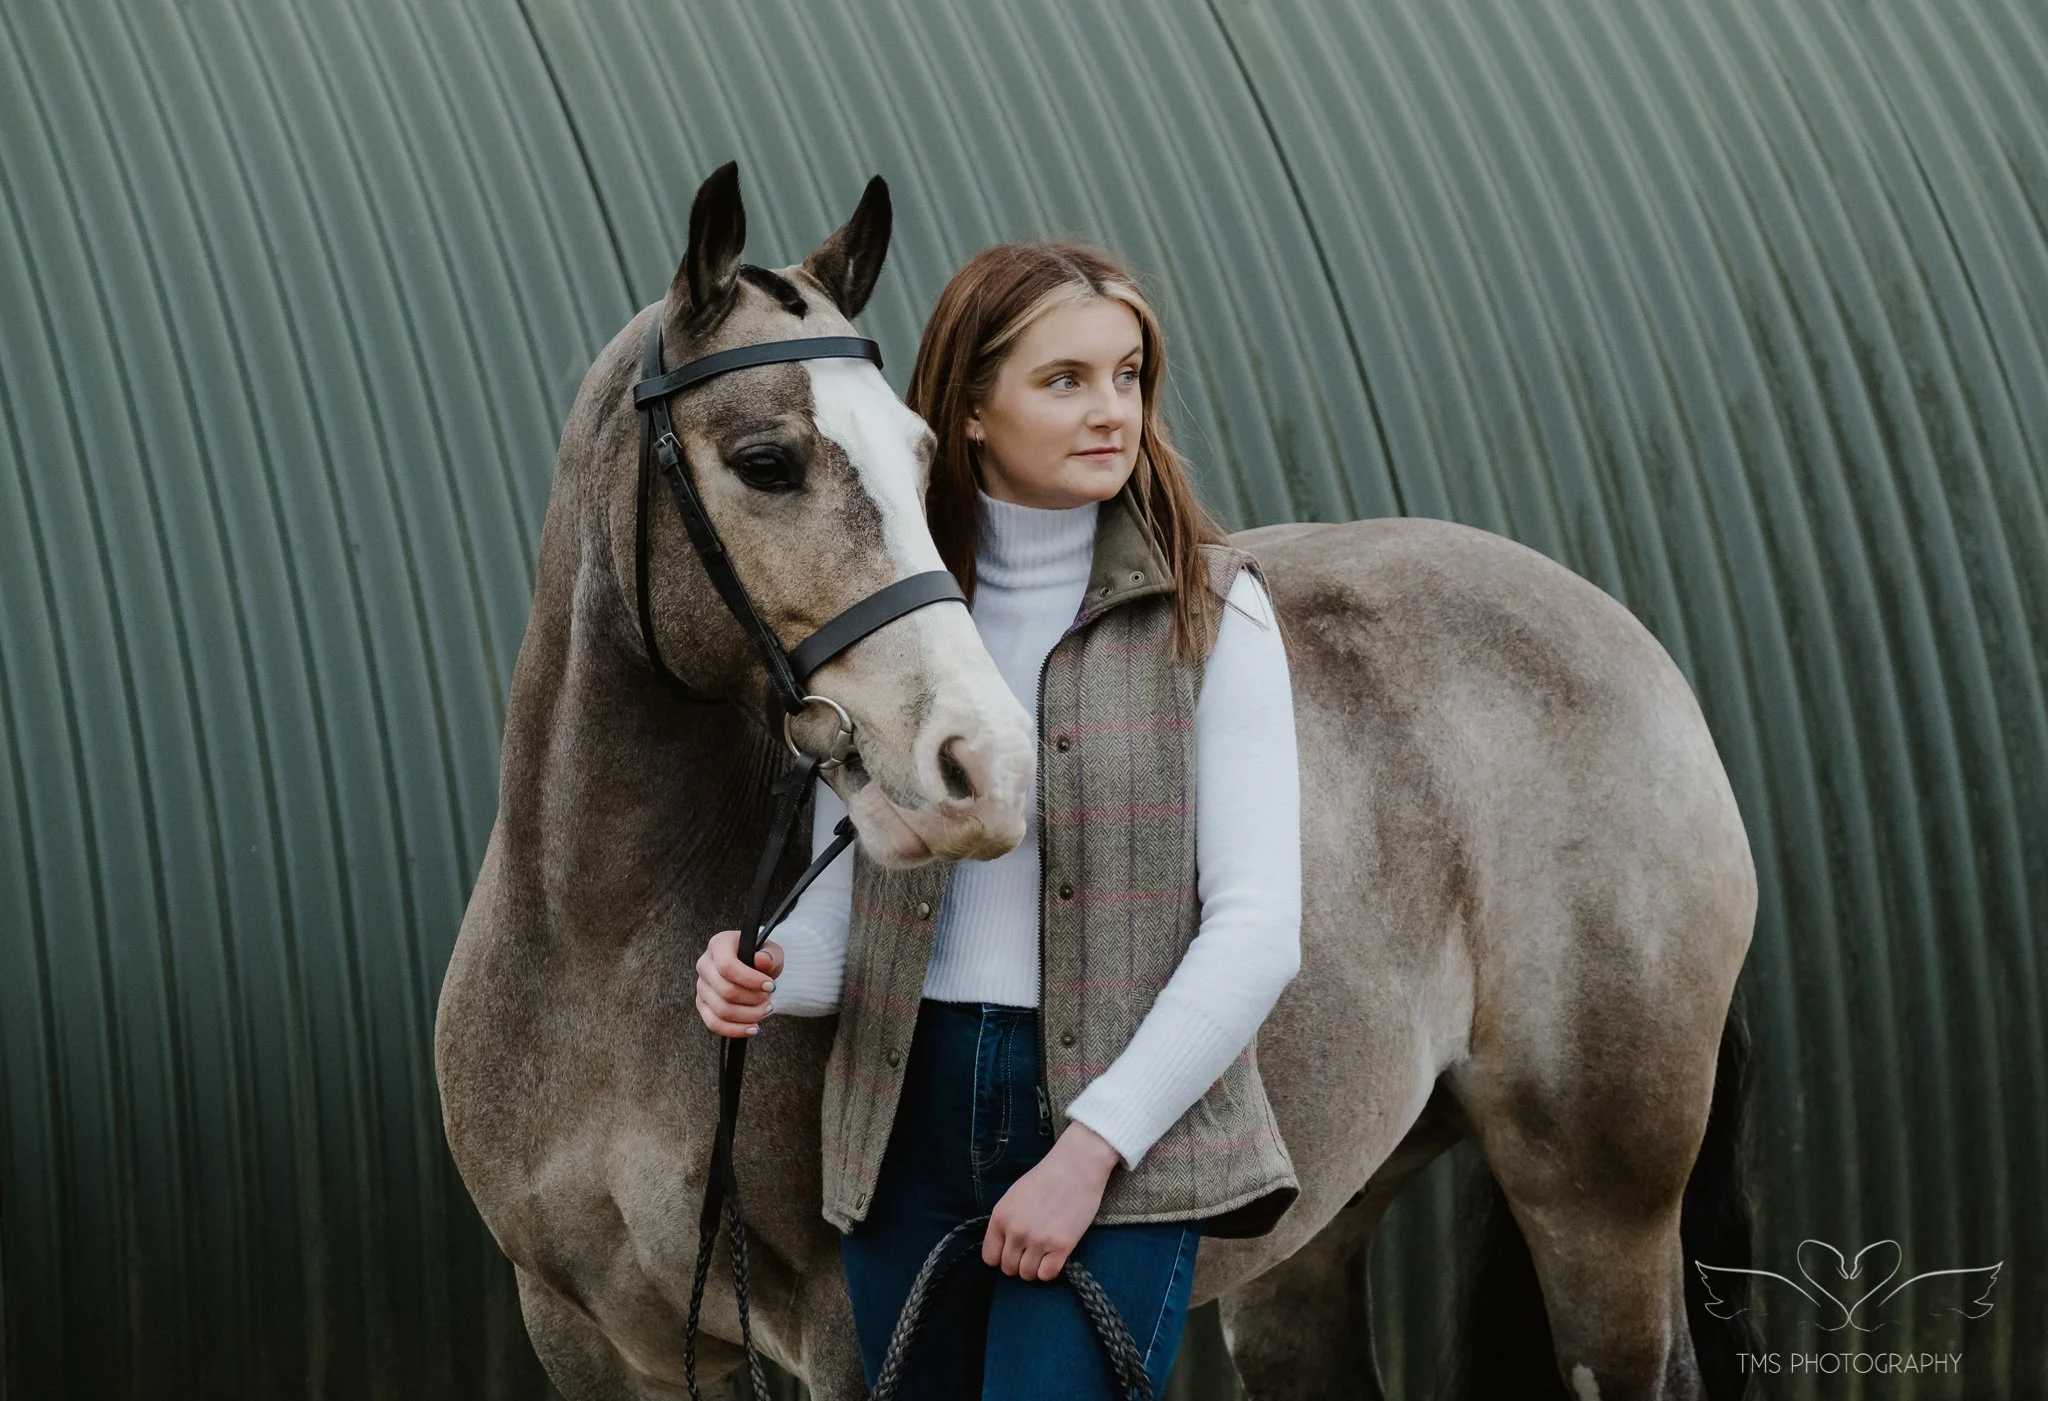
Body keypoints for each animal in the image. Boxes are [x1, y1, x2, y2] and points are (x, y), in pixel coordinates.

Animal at [435, 160, 1759, 1401]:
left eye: (921, 456)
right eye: (765, 461)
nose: (982, 765)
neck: (598, 948)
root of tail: (1626, 642)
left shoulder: (856, 1331)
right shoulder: (591, 1342)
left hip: (1597, 1205)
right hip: (1311, 1237)